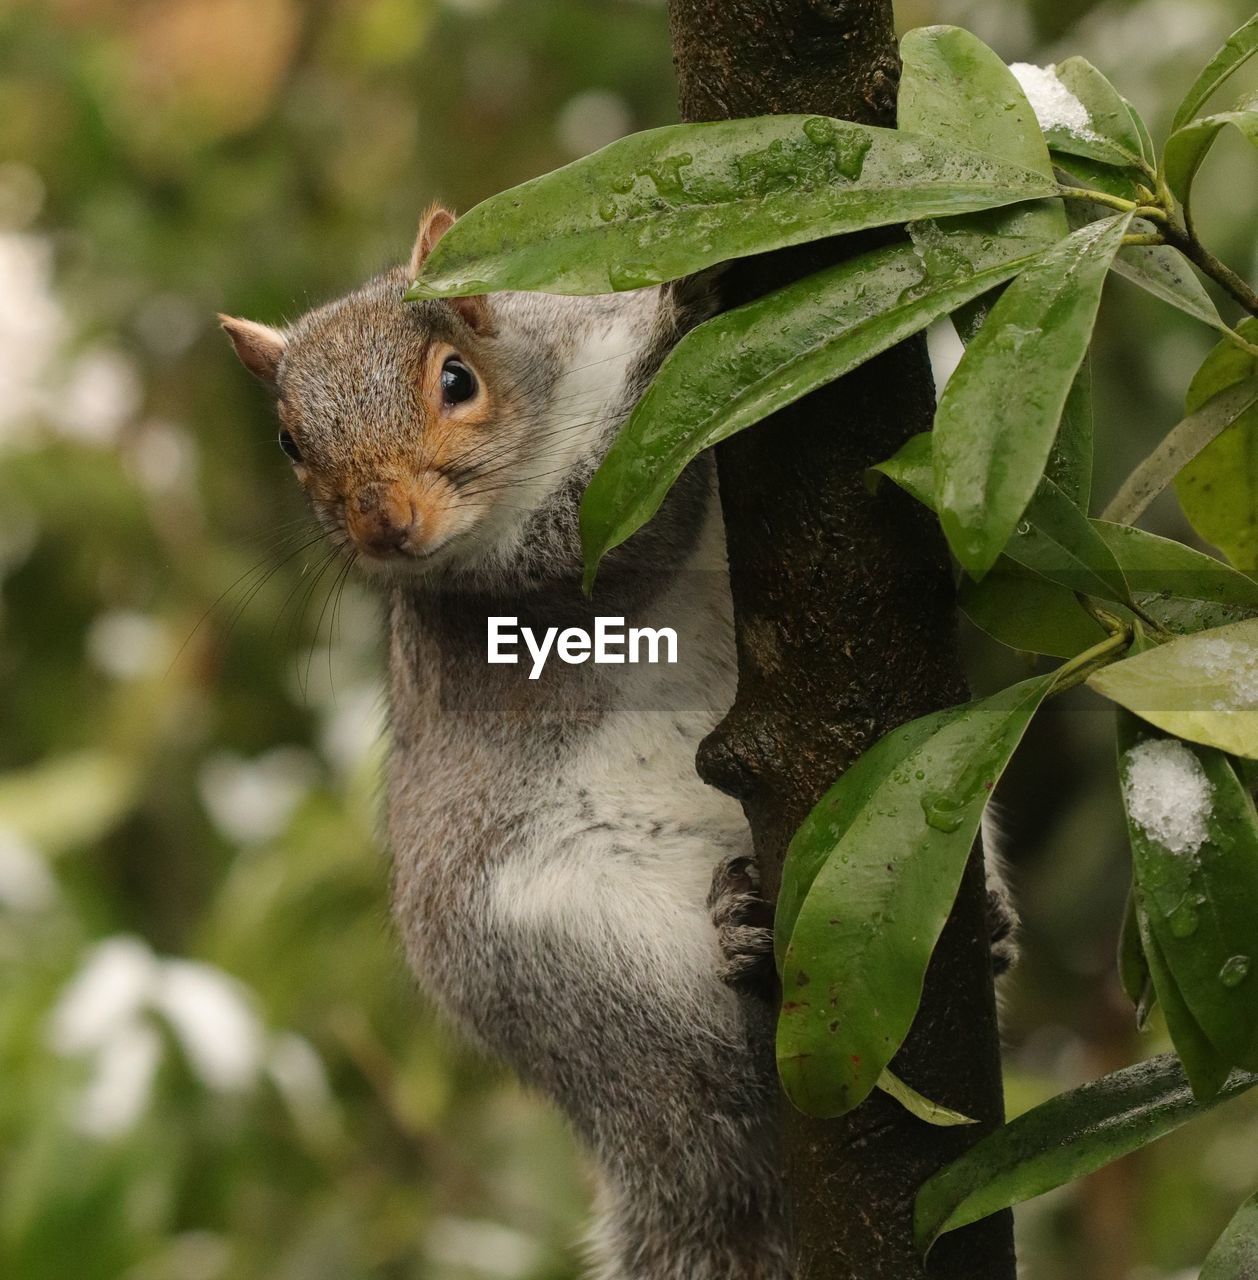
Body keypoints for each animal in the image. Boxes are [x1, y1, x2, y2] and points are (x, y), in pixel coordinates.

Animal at [221, 204, 1018, 1274]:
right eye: (289, 441)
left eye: (456, 379)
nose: (386, 527)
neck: (558, 387)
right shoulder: (534, 578)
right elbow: (635, 515)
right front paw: (690, 309)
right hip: (595, 961)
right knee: (717, 1054)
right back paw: (744, 947)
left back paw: (995, 926)